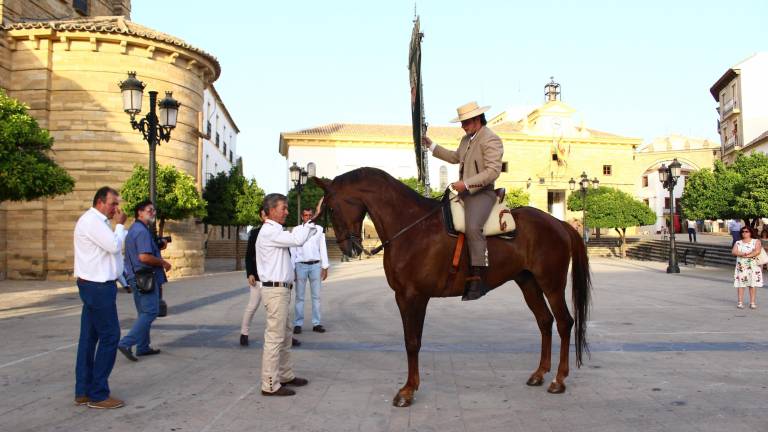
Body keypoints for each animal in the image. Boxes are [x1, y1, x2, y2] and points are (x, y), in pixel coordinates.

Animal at [316, 167, 592, 406]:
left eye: (331, 208)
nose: (348, 249)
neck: (411, 226)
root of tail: (559, 223)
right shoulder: (403, 297)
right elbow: (410, 340)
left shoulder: (414, 296)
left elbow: (412, 342)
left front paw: (408, 390)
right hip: (528, 282)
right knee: (545, 321)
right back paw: (540, 373)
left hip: (551, 283)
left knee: (564, 322)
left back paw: (559, 379)